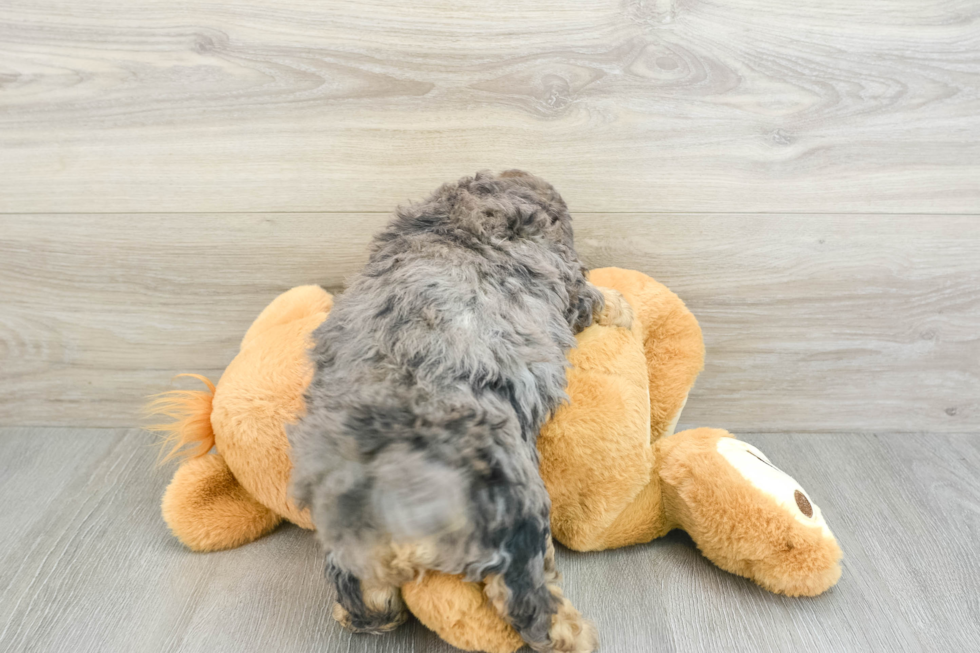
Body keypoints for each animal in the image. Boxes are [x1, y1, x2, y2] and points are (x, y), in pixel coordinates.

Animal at [288, 169, 632, 652]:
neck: (456, 220)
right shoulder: (563, 281)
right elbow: (593, 296)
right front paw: (622, 306)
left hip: (351, 536)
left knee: (365, 598)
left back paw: (359, 610)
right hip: (515, 505)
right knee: (526, 596)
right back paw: (573, 633)